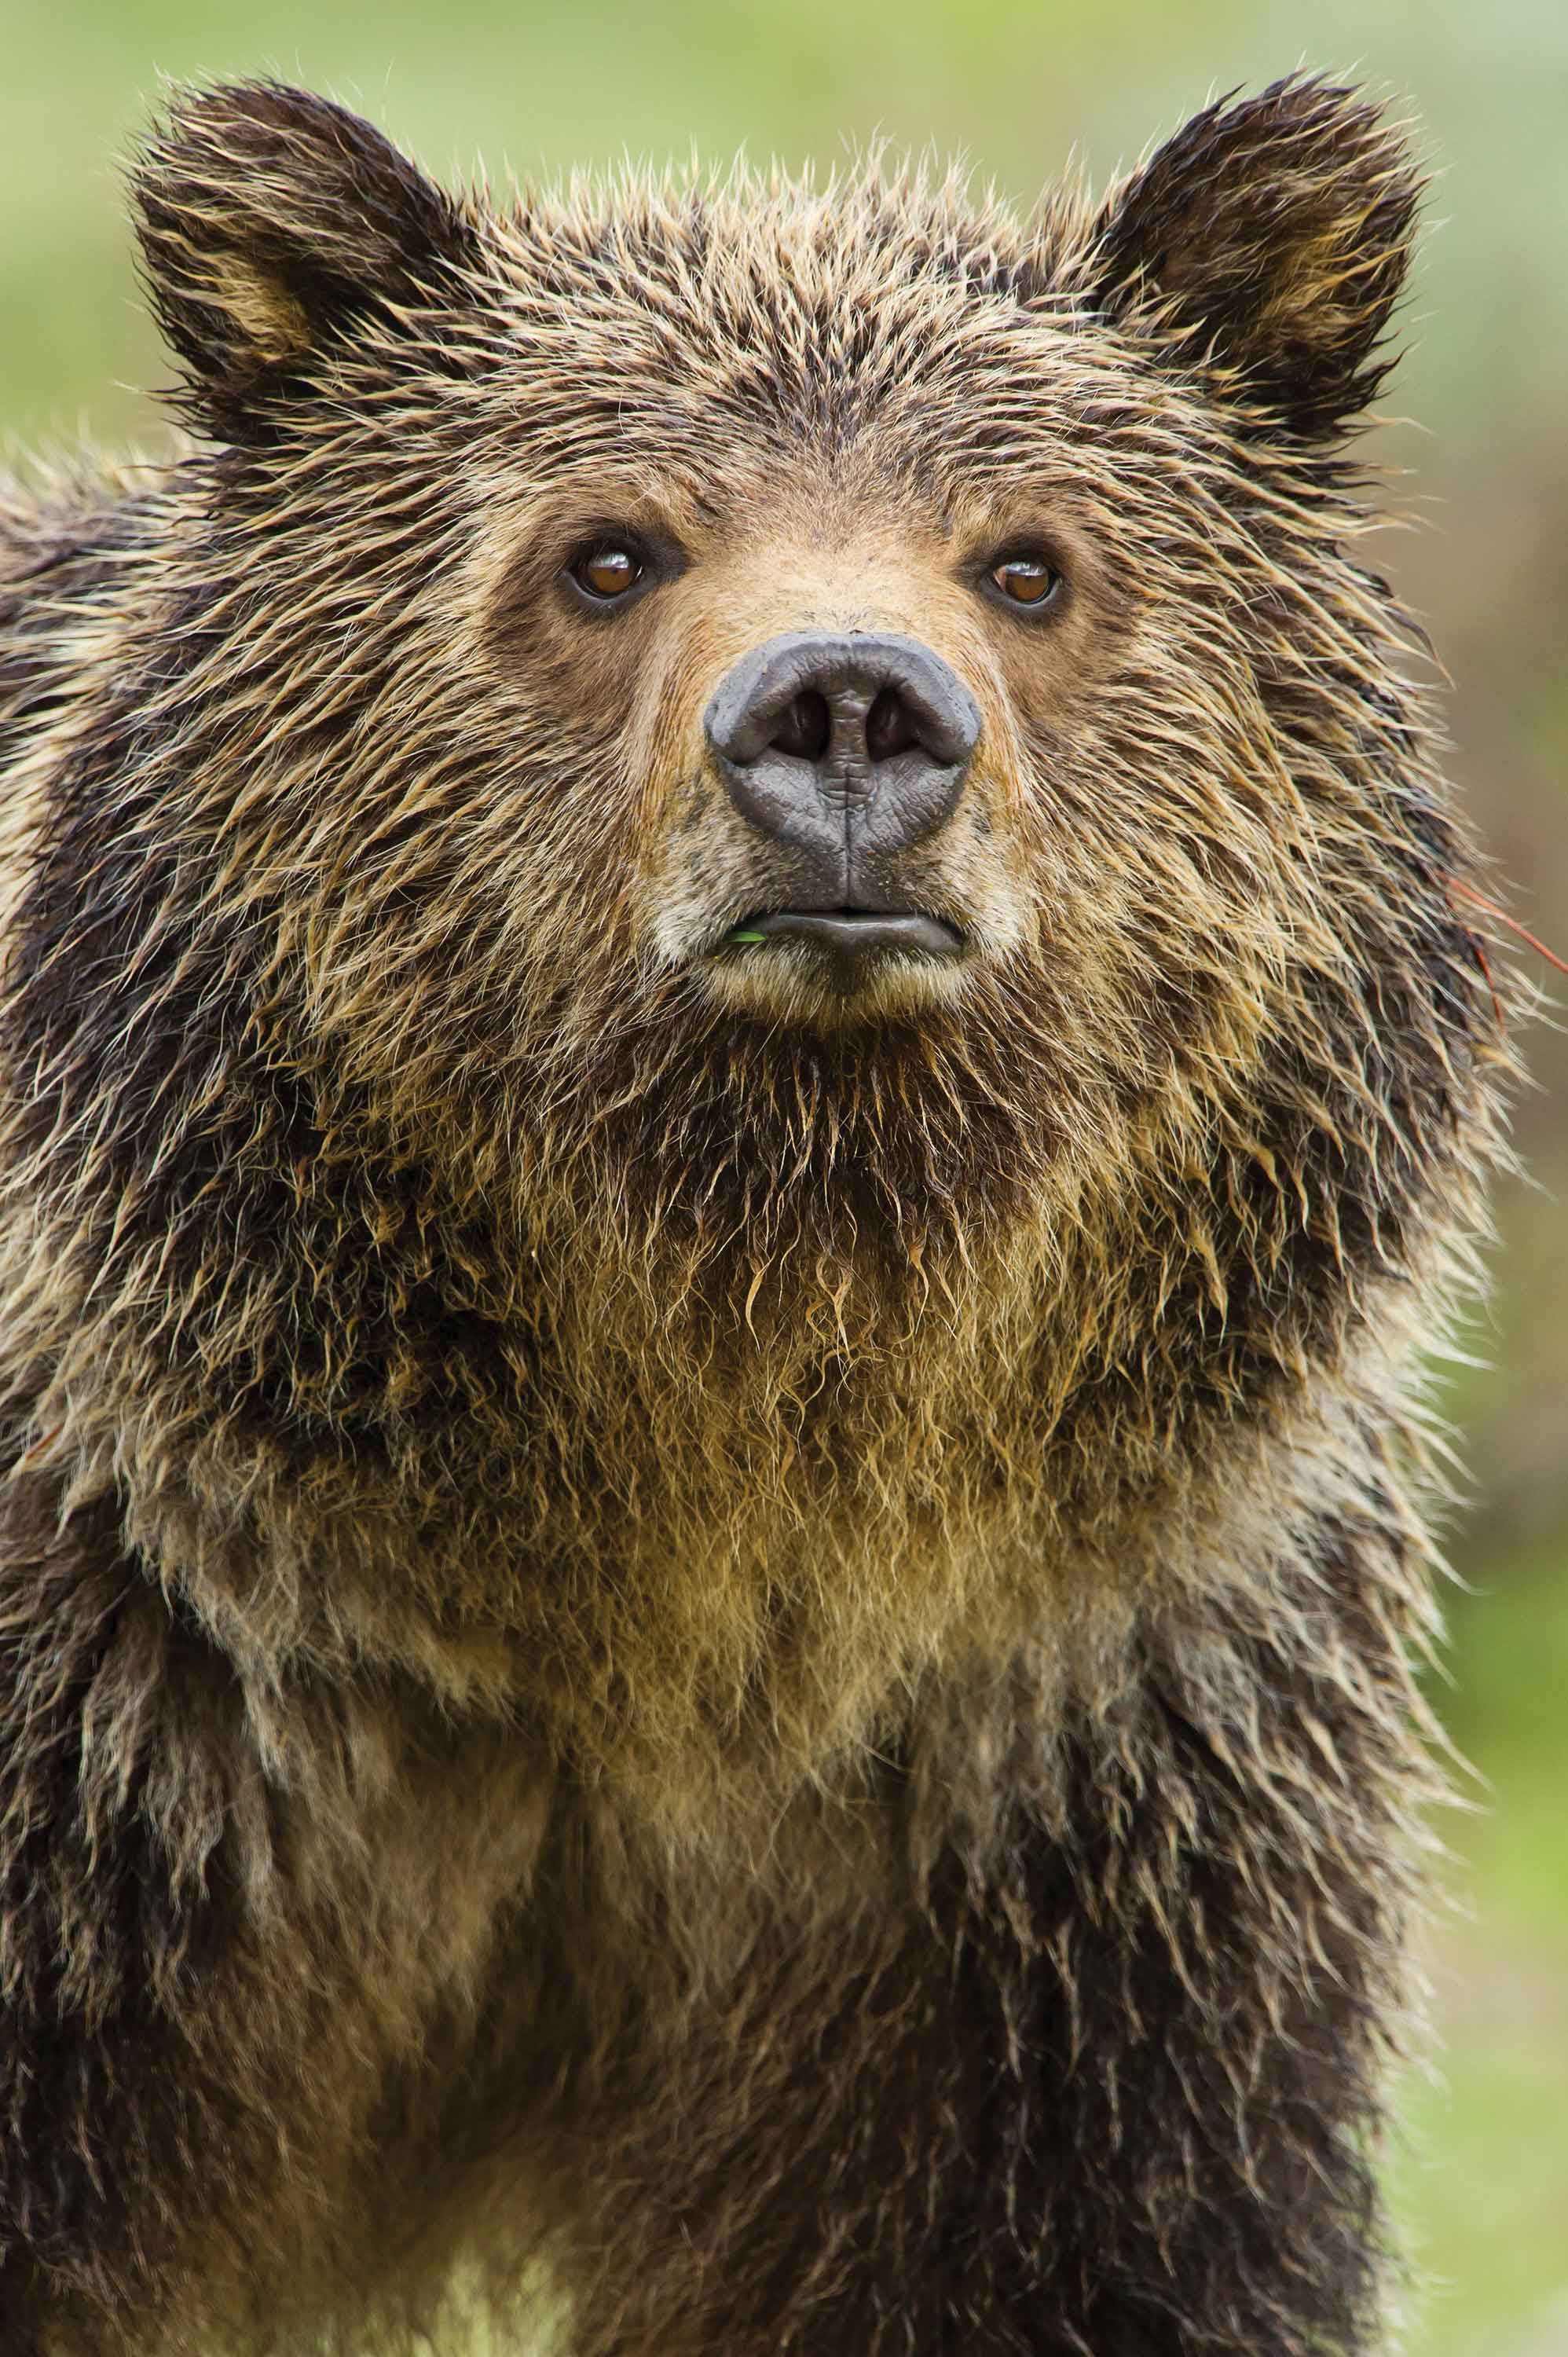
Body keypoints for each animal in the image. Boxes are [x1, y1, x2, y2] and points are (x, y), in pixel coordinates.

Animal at [0, 70, 1511, 2357]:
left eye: (1031, 558)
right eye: (606, 549)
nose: (847, 711)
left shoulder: (1068, 1797)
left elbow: (1063, 2250)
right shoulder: (139, 1704)